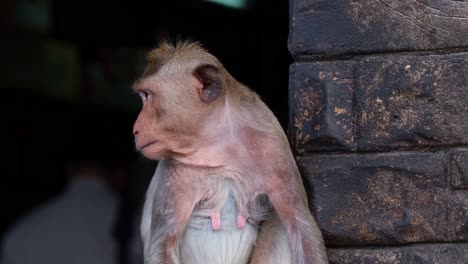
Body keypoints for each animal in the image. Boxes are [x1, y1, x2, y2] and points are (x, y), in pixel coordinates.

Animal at [132, 41, 328, 264]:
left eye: (148, 95)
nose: (135, 129)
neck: (220, 146)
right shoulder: (173, 168)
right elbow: (163, 244)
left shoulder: (273, 146)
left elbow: (300, 225)